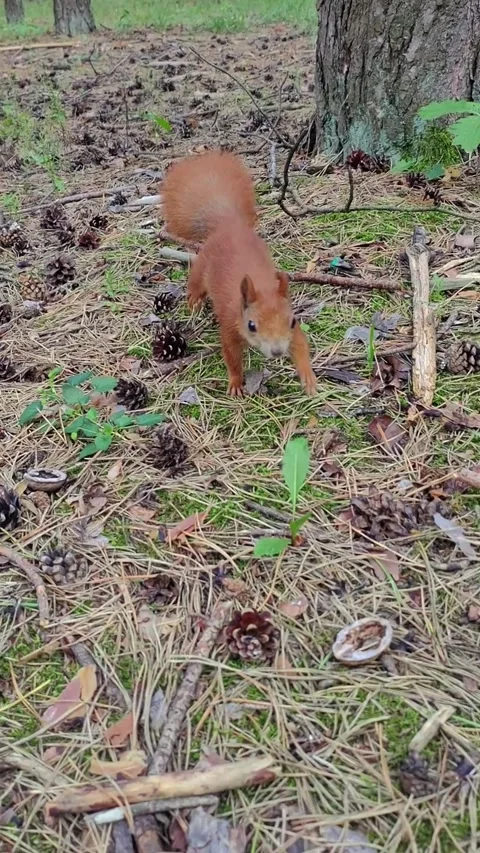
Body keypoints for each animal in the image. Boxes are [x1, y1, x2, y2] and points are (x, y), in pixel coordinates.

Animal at [162, 150, 317, 396]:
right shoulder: (230, 326)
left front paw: (309, 377)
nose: (276, 352)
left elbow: (300, 345)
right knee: (195, 282)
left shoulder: (293, 331)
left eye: (292, 321)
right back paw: (194, 301)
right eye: (251, 325)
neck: (262, 287)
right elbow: (232, 356)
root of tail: (227, 223)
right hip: (203, 265)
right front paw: (235, 383)